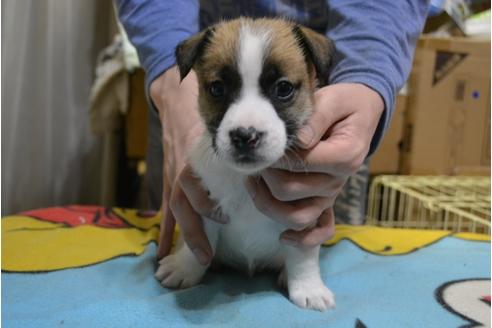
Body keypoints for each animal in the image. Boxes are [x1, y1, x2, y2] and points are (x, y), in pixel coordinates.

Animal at [156, 18, 336, 312]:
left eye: (283, 88)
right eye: (217, 88)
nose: (245, 136)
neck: (247, 177)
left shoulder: (304, 216)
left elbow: (303, 256)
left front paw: (308, 288)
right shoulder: (203, 205)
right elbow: (198, 244)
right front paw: (185, 268)